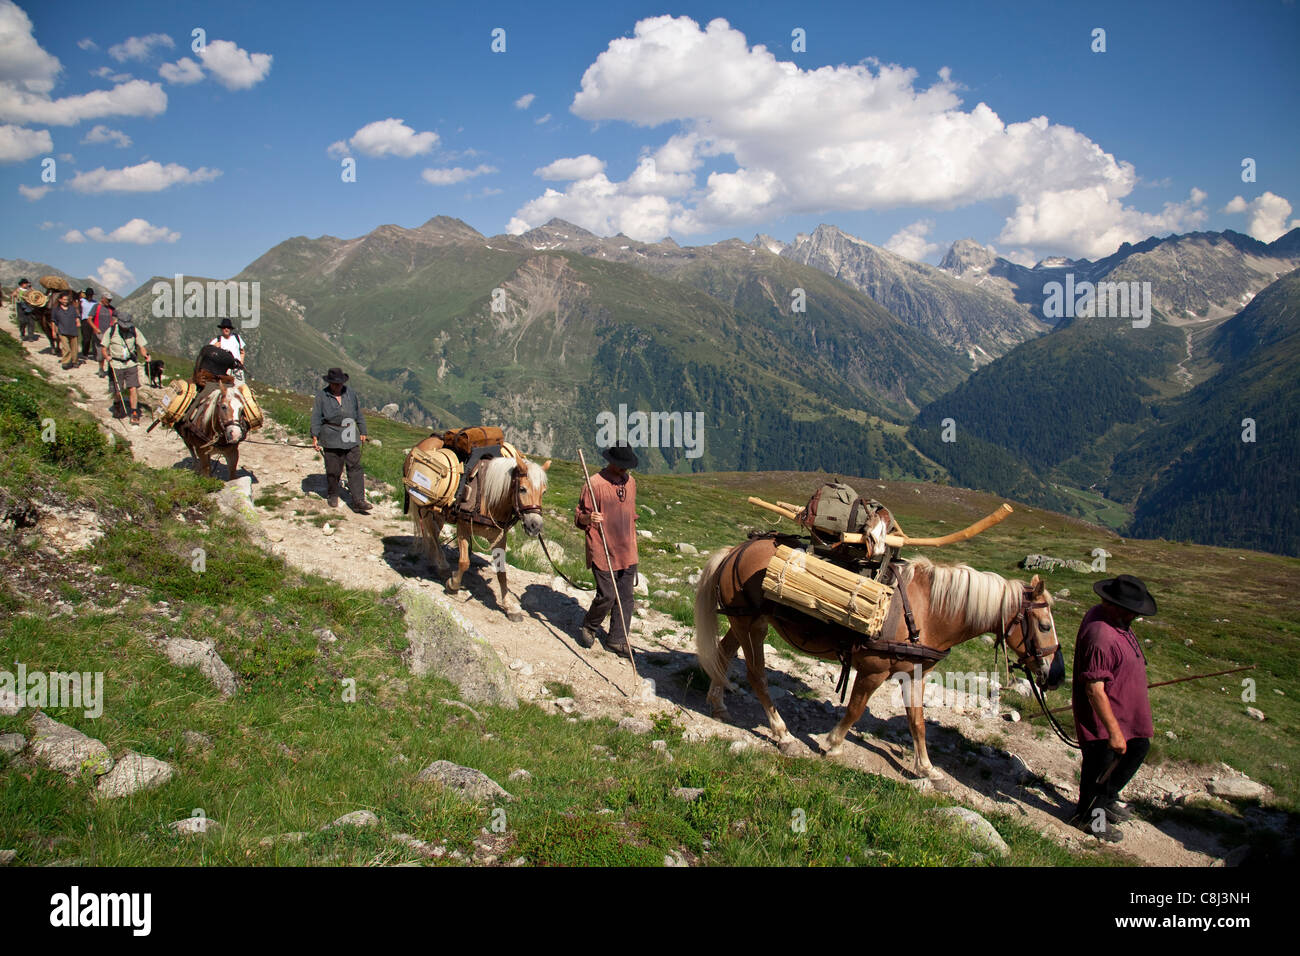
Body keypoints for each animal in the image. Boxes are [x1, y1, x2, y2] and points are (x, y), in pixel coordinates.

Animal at [696, 535, 1060, 790]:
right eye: (1044, 626)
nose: (1054, 676)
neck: (928, 611)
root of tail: (735, 551)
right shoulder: (873, 670)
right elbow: (856, 710)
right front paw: (832, 744)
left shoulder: (915, 675)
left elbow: (918, 723)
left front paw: (928, 769)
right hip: (751, 625)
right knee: (756, 675)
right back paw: (782, 735)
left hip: (742, 622)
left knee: (723, 654)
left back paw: (718, 704)